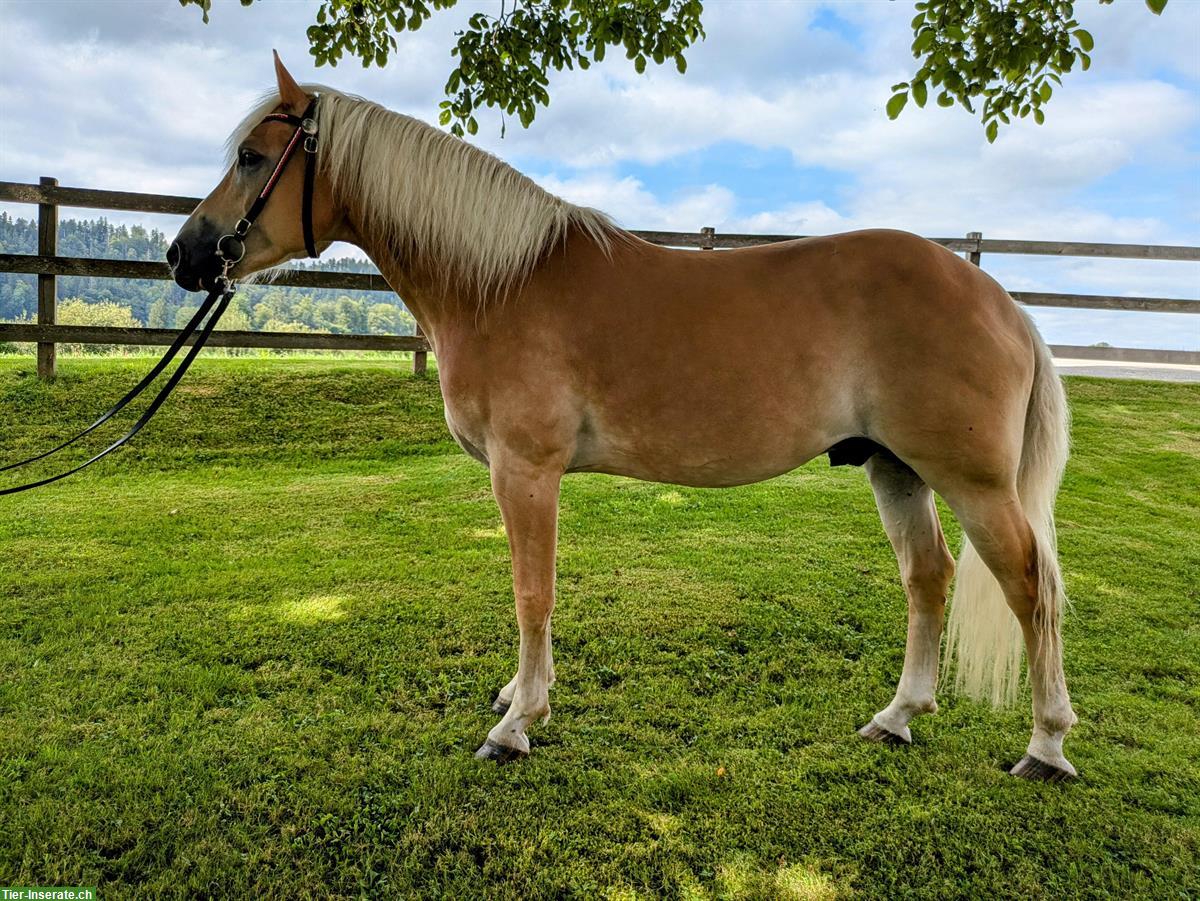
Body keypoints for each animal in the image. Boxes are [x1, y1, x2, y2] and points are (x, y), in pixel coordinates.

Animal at [169, 58, 1080, 782]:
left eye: (252, 158)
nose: (185, 255)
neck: (499, 283)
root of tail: (999, 299)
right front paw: (519, 694)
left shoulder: (525, 470)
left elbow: (531, 591)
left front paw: (518, 722)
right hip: (895, 467)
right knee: (929, 577)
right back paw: (897, 716)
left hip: (973, 482)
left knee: (1031, 587)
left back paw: (1046, 745)